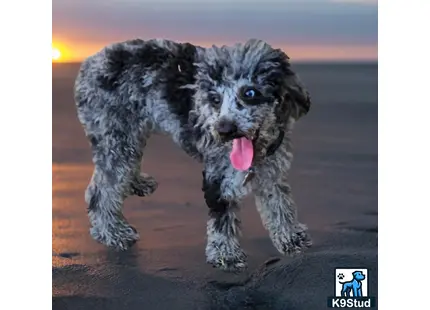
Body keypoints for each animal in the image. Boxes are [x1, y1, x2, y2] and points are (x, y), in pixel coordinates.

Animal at [74, 38, 312, 272]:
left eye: (250, 93)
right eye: (215, 99)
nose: (224, 129)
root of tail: (89, 64)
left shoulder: (272, 171)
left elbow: (280, 205)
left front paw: (291, 237)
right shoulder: (218, 175)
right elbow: (222, 217)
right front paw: (226, 254)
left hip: (130, 135)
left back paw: (136, 184)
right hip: (116, 135)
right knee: (101, 190)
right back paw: (112, 232)